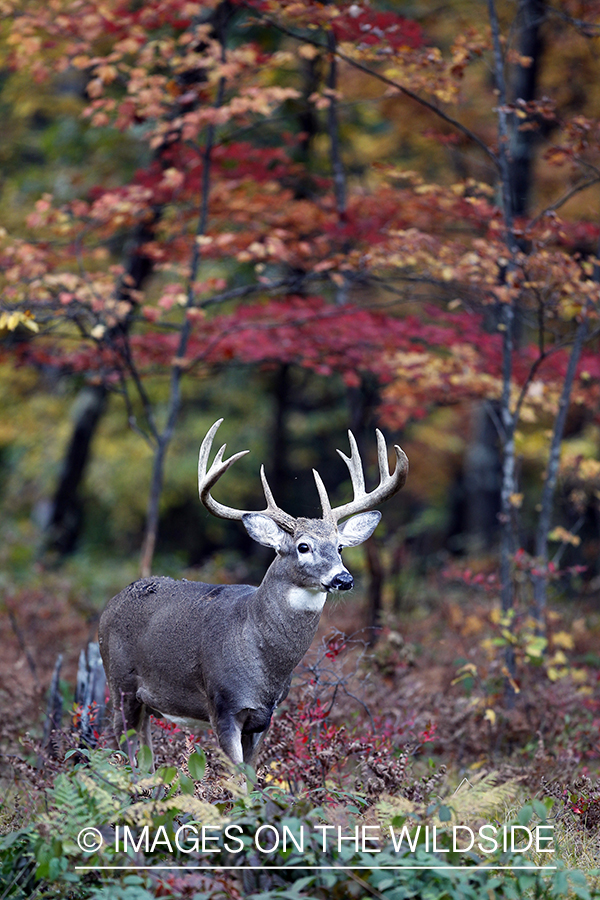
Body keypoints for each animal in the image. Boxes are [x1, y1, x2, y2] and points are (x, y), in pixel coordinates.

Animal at [99, 418, 408, 768]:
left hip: (148, 704)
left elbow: (252, 778)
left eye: (340, 546)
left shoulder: (263, 718)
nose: (343, 578)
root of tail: (110, 604)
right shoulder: (223, 705)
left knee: (146, 752)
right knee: (120, 746)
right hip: (120, 685)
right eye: (303, 546)